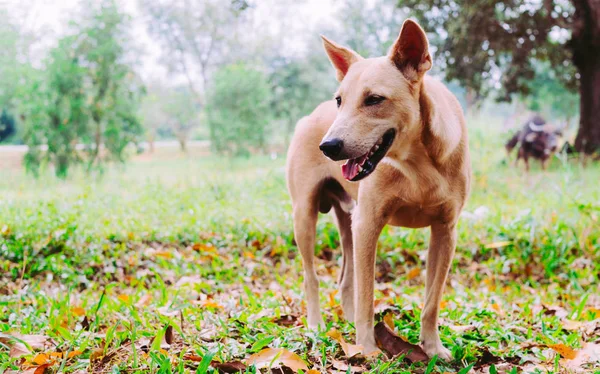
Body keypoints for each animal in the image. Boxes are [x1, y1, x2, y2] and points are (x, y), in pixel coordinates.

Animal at [284, 18, 472, 360]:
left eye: (374, 99)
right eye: (339, 101)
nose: (328, 147)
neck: (416, 165)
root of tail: (309, 117)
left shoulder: (446, 231)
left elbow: (432, 301)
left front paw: (432, 347)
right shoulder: (368, 224)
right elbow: (367, 295)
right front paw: (367, 348)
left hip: (348, 221)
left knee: (346, 280)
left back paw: (345, 320)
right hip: (304, 215)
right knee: (311, 277)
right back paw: (317, 325)